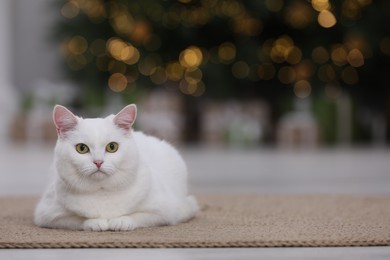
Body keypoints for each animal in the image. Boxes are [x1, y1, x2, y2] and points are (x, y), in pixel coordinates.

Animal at [33, 104, 198, 231]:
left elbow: (139, 216)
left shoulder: (165, 211)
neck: (102, 192)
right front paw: (96, 223)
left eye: (112, 147)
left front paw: (121, 221)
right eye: (82, 148)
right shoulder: (47, 214)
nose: (98, 162)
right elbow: (76, 219)